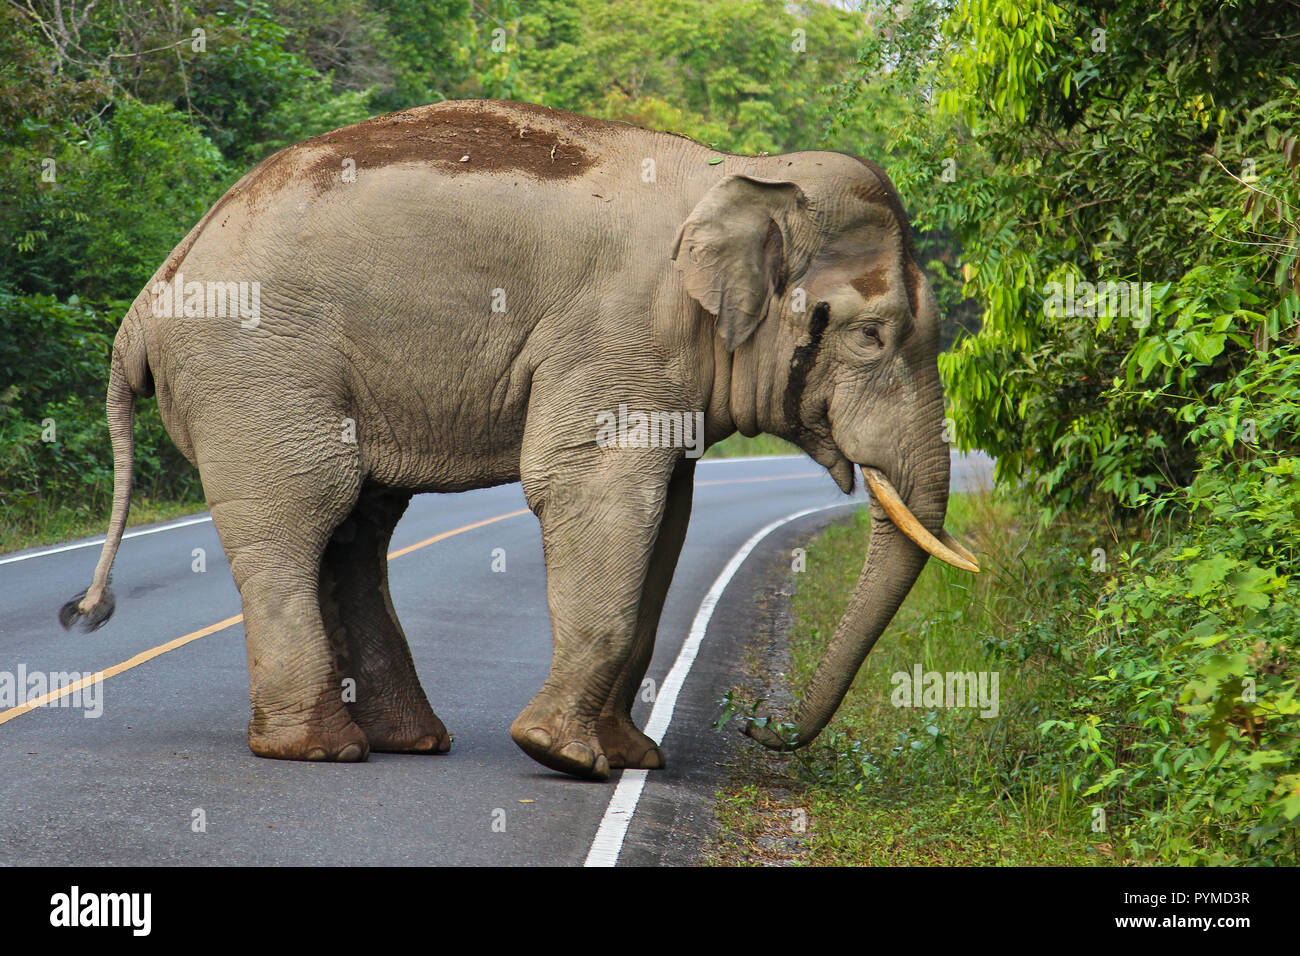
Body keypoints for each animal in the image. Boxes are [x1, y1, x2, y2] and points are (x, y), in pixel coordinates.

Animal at [61, 100, 977, 780]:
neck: (741, 172)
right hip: (256, 371)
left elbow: (671, 519)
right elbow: (596, 488)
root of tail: (152, 291)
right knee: (302, 513)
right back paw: (319, 750)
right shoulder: (618, 331)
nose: (757, 724)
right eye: (872, 336)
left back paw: (407, 742)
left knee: (358, 526)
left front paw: (632, 759)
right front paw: (564, 759)